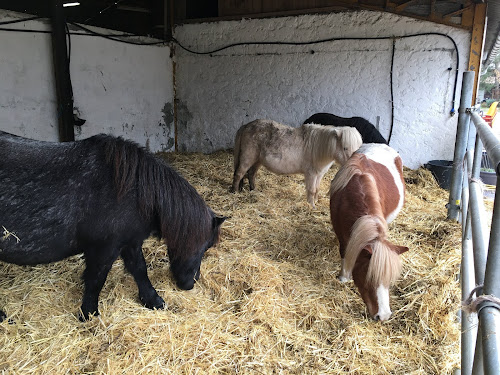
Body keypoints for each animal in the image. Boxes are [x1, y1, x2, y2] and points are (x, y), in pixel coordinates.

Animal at [0, 131, 225, 322]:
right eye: (206, 246)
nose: (190, 283)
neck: (132, 192)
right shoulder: (104, 249)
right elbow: (96, 280)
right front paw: (89, 314)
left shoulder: (129, 242)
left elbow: (139, 270)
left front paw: (153, 301)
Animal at [232, 119, 362, 209]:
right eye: (345, 148)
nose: (355, 165)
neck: (318, 147)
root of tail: (246, 126)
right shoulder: (311, 174)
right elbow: (312, 190)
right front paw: (312, 206)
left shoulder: (319, 174)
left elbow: (317, 189)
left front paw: (316, 202)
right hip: (247, 158)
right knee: (239, 174)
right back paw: (235, 191)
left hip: (257, 160)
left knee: (251, 174)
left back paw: (253, 190)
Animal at [330, 142, 408, 322]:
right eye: (369, 277)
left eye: (389, 280)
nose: (383, 316)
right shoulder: (342, 237)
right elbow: (345, 252)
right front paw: (343, 278)